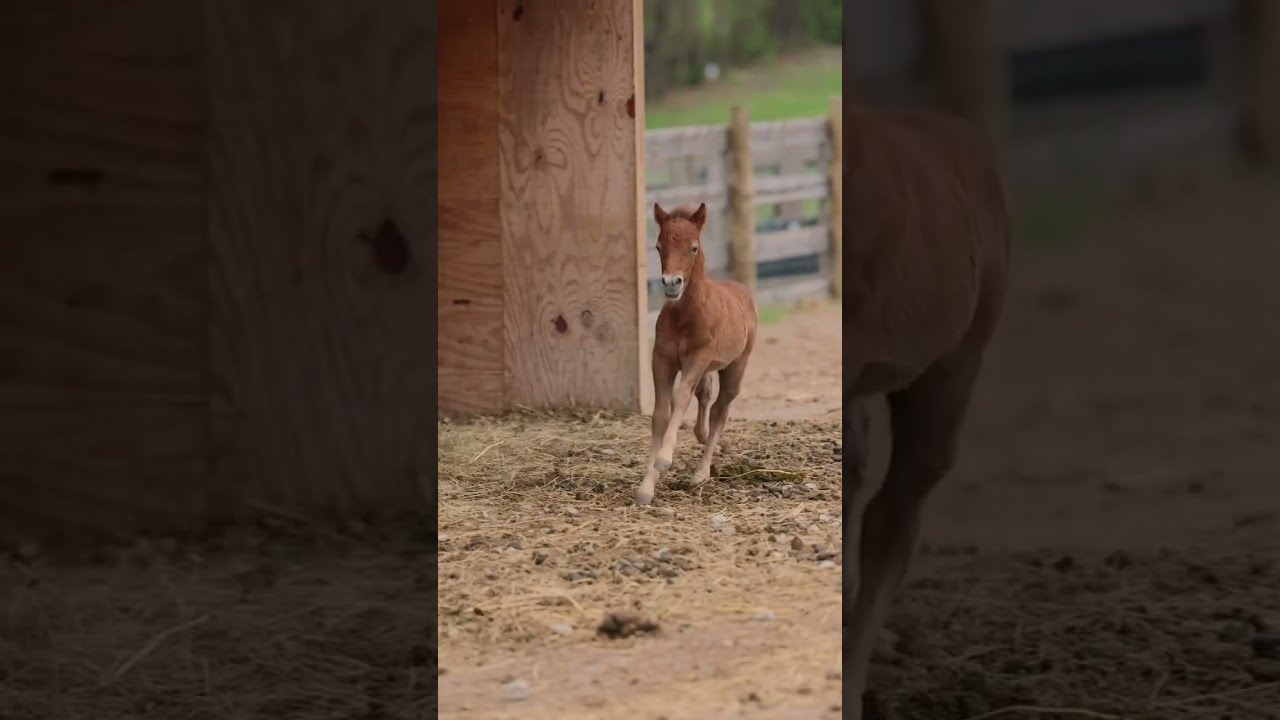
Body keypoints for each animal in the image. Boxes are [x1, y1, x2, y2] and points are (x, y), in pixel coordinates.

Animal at [634, 202, 758, 507]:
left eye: (693, 247)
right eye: (658, 246)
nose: (671, 283)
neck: (684, 315)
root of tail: (742, 290)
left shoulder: (697, 359)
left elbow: (680, 398)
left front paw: (664, 460)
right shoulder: (662, 360)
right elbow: (660, 414)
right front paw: (646, 487)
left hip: (735, 366)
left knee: (719, 411)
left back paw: (701, 473)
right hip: (708, 369)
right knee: (705, 397)